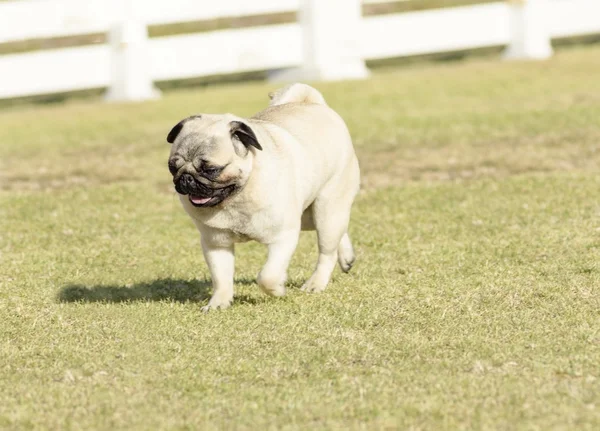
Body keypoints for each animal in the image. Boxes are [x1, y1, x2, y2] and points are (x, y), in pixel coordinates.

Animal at [166, 82, 358, 310]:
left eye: (211, 170)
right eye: (172, 167)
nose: (186, 178)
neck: (236, 199)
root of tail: (312, 104)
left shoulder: (283, 237)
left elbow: (267, 276)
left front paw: (277, 290)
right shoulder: (216, 244)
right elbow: (221, 278)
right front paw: (219, 303)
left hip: (326, 209)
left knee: (327, 251)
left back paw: (316, 283)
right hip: (308, 215)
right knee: (338, 232)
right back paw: (347, 258)